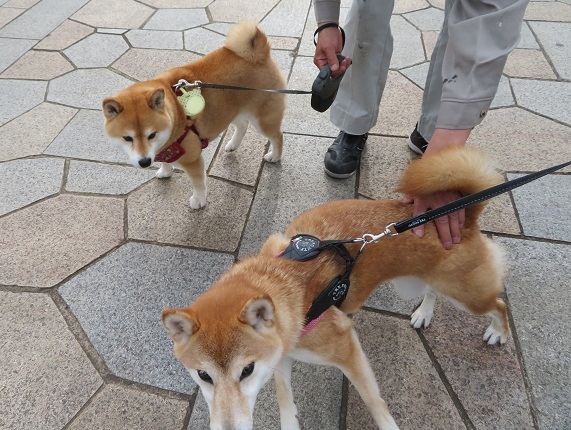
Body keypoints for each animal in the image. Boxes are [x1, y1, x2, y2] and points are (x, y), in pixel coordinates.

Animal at [101, 22, 286, 210]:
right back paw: (233, 145)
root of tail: (259, 55)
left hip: (263, 119)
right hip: (230, 110)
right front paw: (165, 171)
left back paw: (275, 156)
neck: (176, 112)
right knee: (243, 125)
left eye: (152, 135)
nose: (145, 162)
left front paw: (198, 200)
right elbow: (166, 161)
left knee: (277, 136)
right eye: (127, 138)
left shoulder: (192, 158)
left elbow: (198, 183)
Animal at [163, 148, 508, 430]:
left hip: (468, 296)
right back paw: (424, 313)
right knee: (431, 290)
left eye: (246, 370)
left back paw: (498, 332)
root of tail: (462, 217)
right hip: (412, 283)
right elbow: (285, 399)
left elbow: (374, 401)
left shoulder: (346, 348)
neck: (289, 290)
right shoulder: (280, 355)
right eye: (203, 376)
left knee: (498, 305)